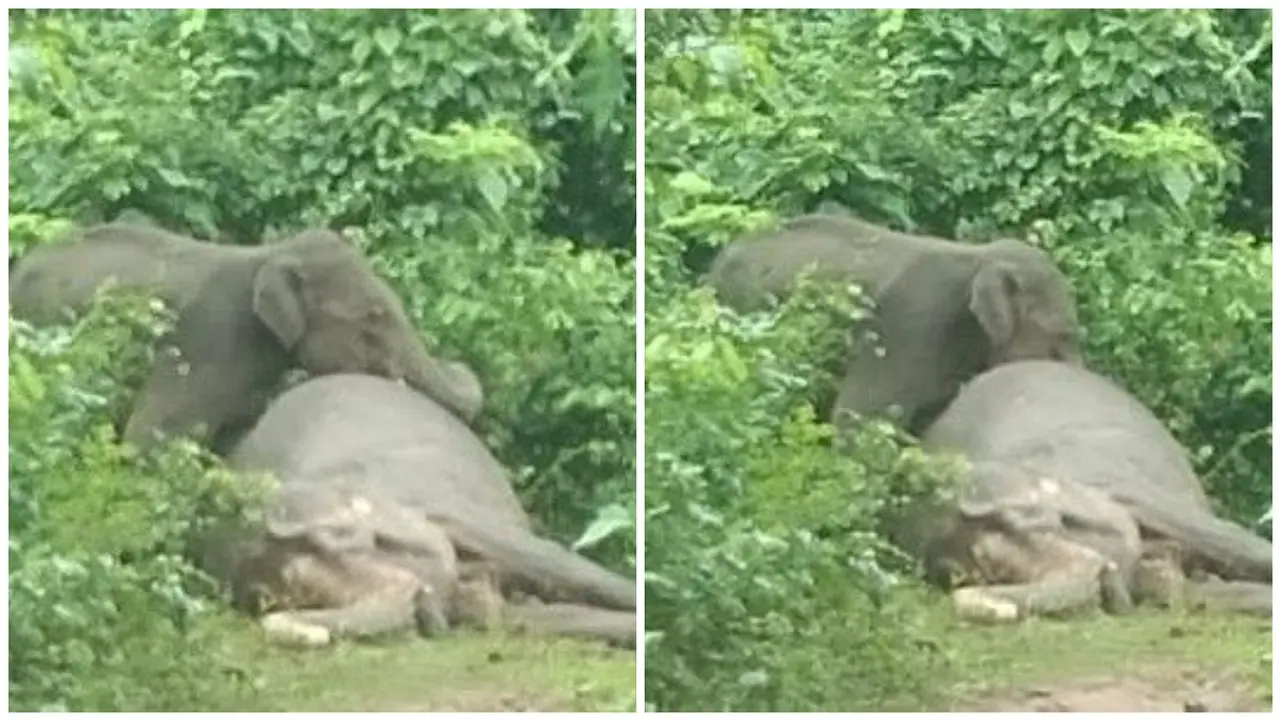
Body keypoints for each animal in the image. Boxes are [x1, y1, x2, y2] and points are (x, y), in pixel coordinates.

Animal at [216, 372, 636, 648]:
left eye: (337, 538)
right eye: (292, 597)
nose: (278, 623)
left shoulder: (443, 510)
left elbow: (559, 563)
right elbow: (540, 619)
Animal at [895, 360, 1271, 623]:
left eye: (1025, 520)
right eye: (984, 572)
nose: (974, 598)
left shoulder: (1123, 488)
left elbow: (1231, 539)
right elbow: (1187, 593)